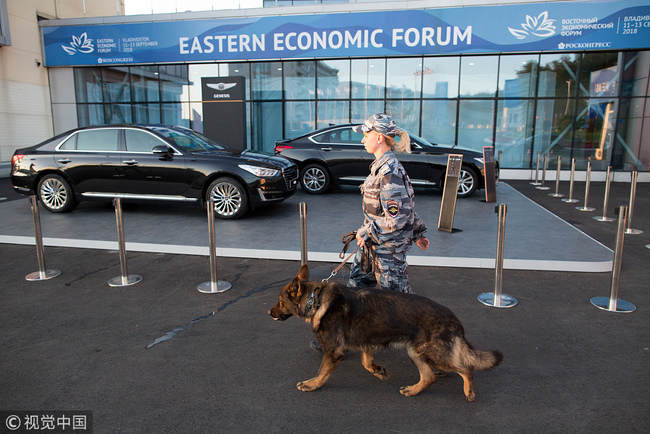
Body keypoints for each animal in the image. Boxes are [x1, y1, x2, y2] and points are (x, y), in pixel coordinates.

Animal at [268, 264, 502, 404]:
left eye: (280, 301)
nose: (269, 313)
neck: (315, 300)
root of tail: (453, 318)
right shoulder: (366, 344)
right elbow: (365, 362)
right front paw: (378, 370)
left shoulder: (334, 352)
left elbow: (322, 372)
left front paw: (312, 384)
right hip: (416, 351)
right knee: (430, 377)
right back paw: (413, 390)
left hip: (432, 354)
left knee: (466, 368)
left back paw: (468, 391)